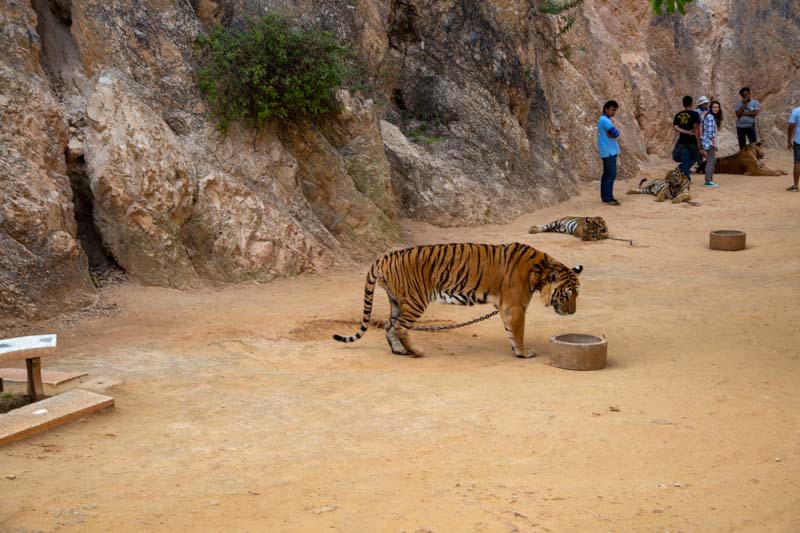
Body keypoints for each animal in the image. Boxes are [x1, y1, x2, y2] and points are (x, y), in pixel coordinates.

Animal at [333, 243, 582, 358]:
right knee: (400, 327)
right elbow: (518, 331)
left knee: (388, 325)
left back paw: (400, 350)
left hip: (396, 300)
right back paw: (416, 351)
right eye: (567, 295)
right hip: (415, 300)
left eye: (577, 294)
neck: (541, 272)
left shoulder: (506, 308)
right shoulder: (514, 307)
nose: (572, 312)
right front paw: (523, 352)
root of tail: (385, 257)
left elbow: (511, 332)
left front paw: (516, 350)